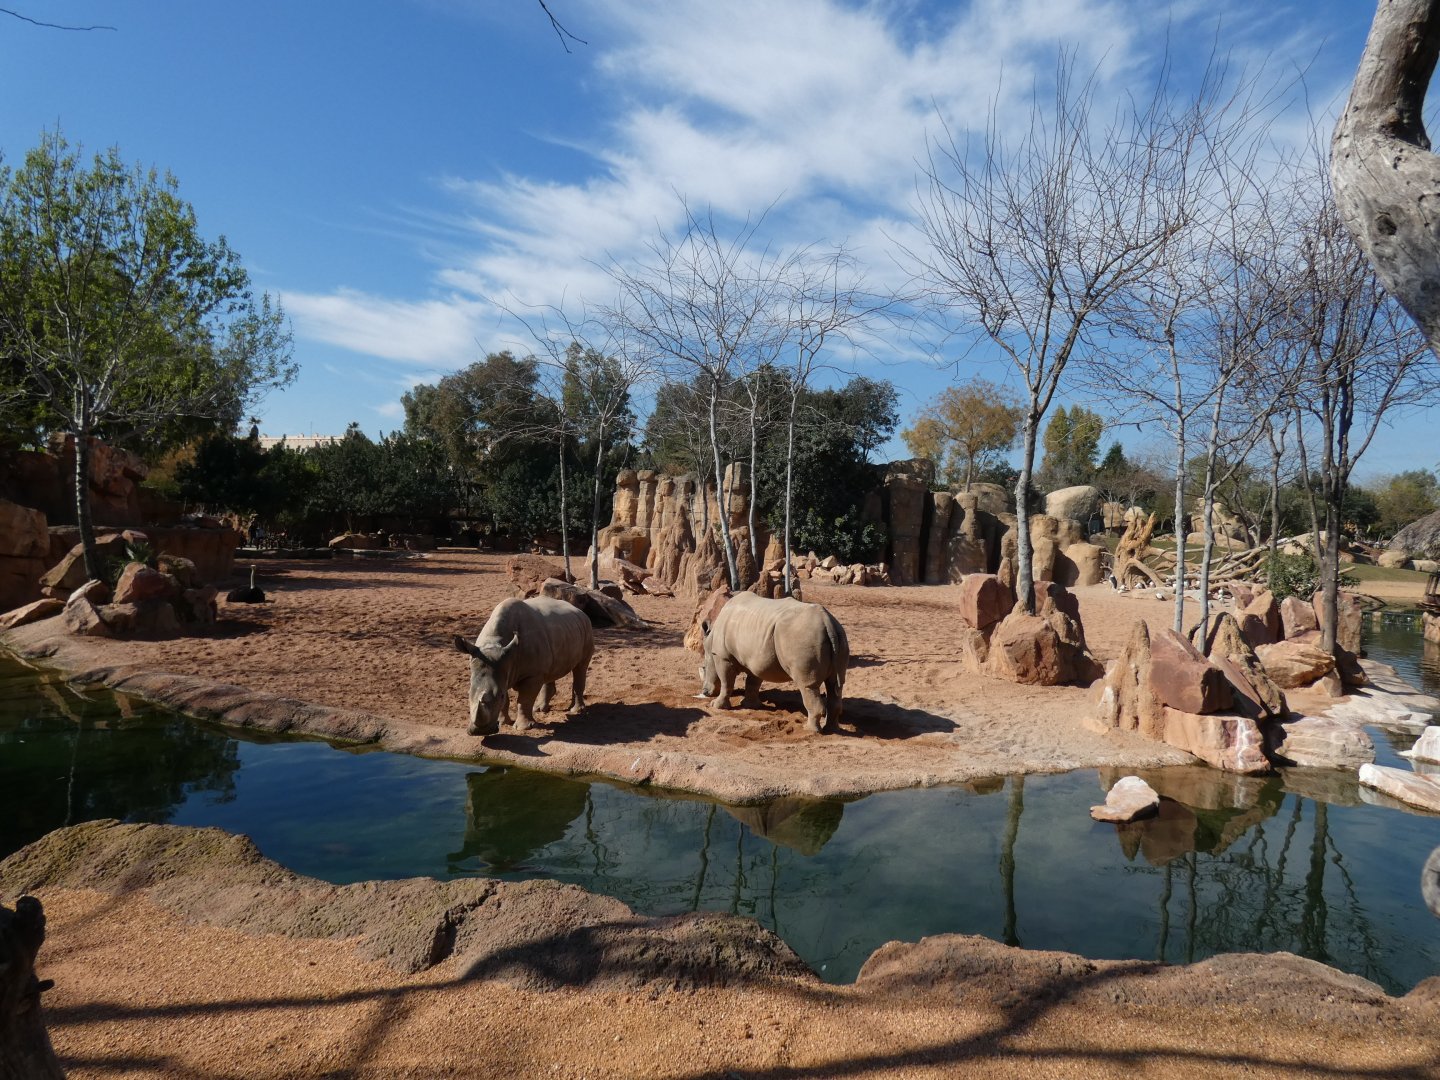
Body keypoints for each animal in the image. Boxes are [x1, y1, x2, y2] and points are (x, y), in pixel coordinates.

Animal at [453, 596, 594, 735]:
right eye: (468, 694)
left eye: (500, 695)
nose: (480, 731)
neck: (495, 642)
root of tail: (579, 610)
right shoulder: (503, 670)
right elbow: (507, 701)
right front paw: (504, 723)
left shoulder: (531, 674)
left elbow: (524, 699)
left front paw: (524, 728)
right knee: (550, 671)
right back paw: (540, 709)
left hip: (587, 628)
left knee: (580, 667)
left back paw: (575, 711)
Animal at [699, 591, 849, 733]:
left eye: (705, 667)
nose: (705, 692)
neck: (711, 635)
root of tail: (827, 622)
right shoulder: (756, 659)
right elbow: (753, 682)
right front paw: (750, 705)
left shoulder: (722, 656)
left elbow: (726, 682)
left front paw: (716, 706)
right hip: (840, 635)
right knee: (835, 685)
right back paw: (832, 730)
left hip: (804, 636)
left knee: (807, 685)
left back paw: (810, 730)